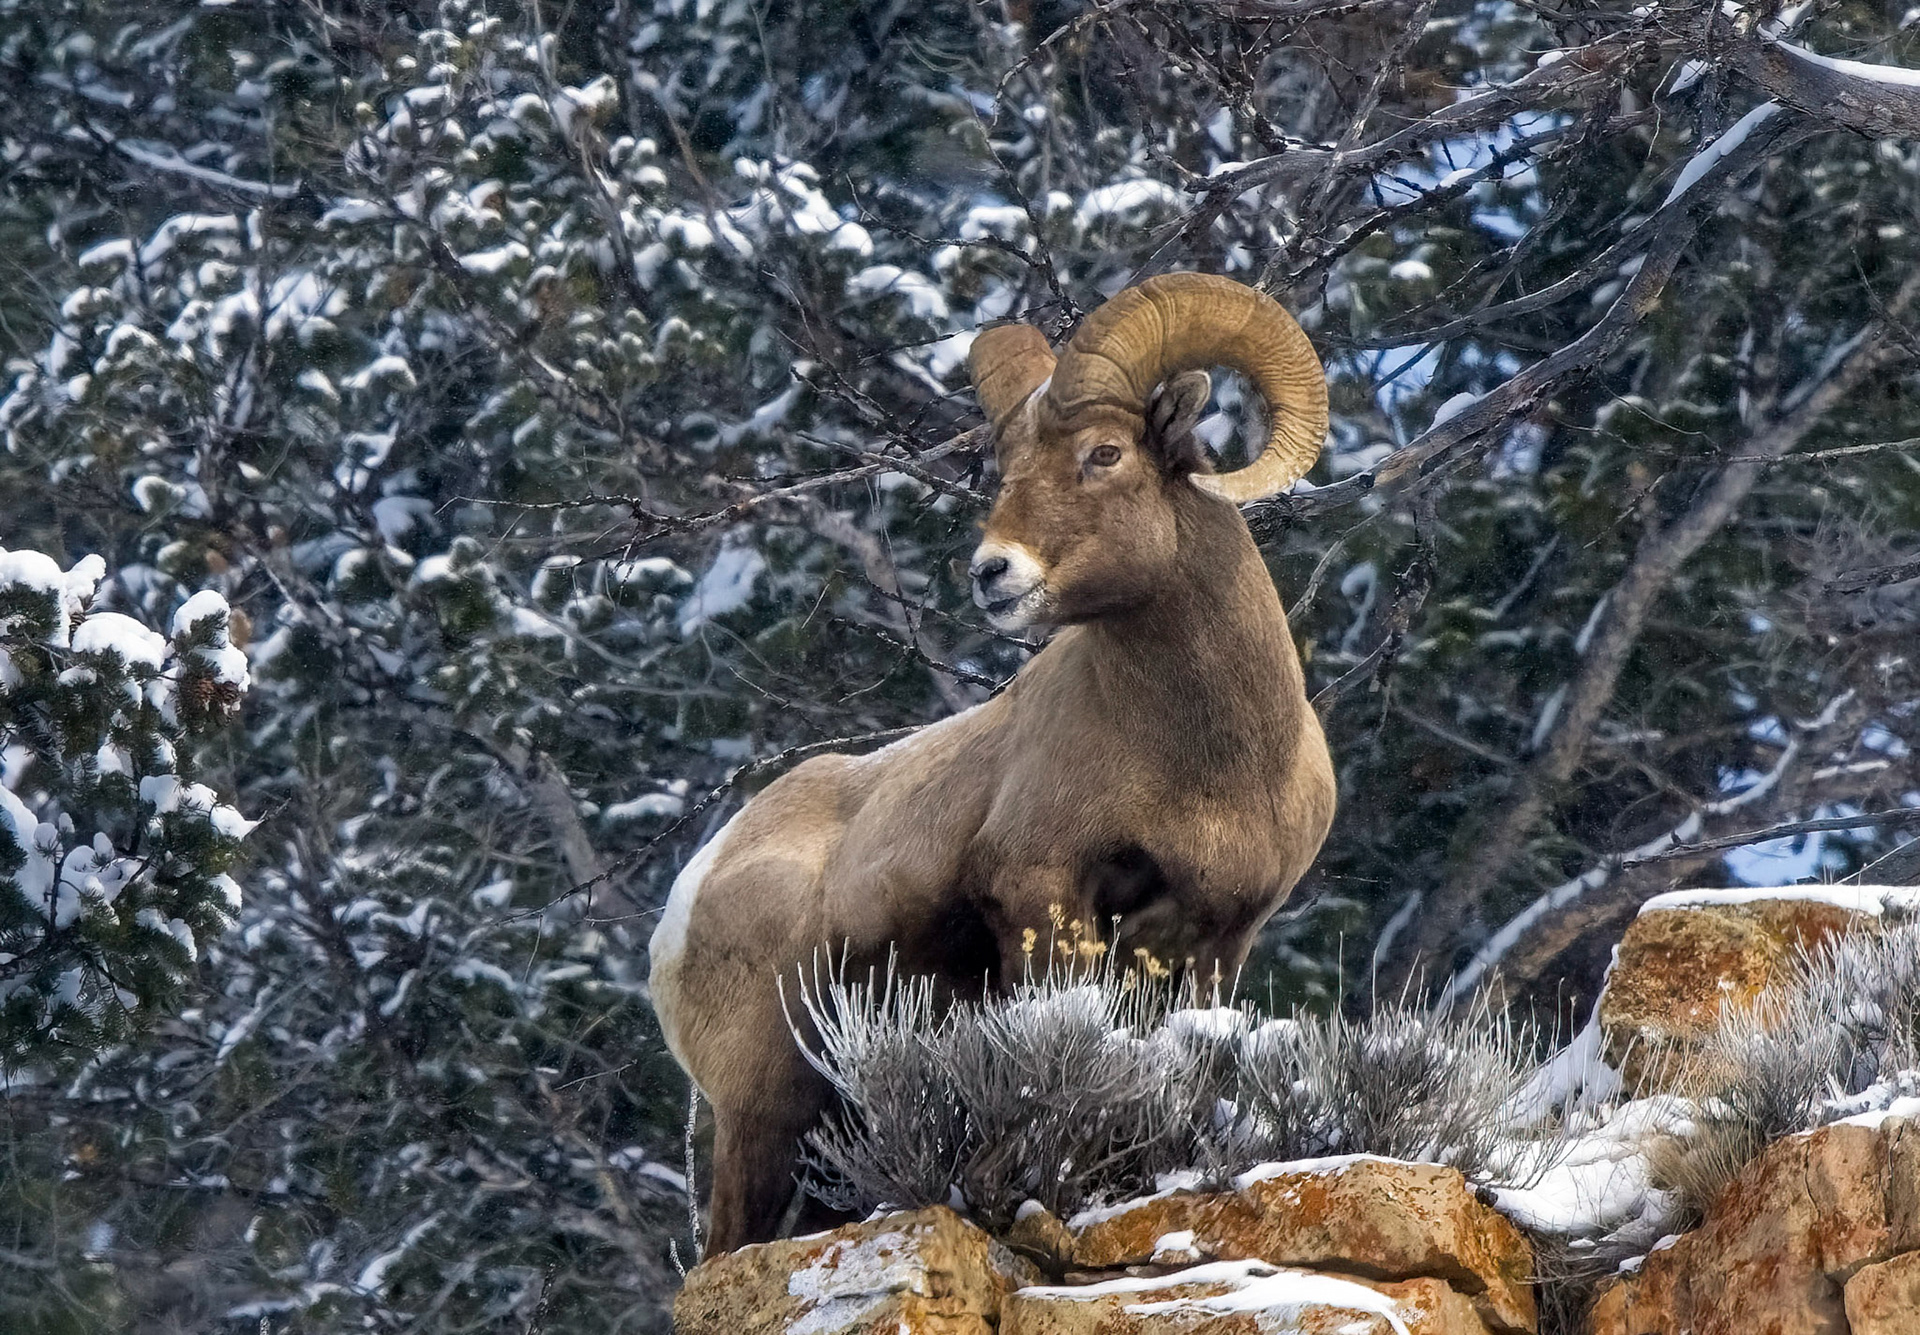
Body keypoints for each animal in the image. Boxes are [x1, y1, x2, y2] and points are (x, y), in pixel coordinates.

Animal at [648, 272, 1337, 1255]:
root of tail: (693, 892)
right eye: (1005, 469)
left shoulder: (1216, 942)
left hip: (829, 1137)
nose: (993, 573)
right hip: (763, 1111)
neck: (1211, 761)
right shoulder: (1040, 898)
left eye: (1104, 452)